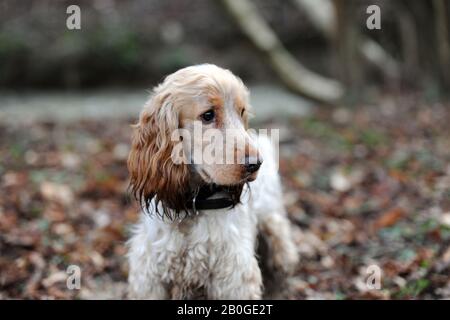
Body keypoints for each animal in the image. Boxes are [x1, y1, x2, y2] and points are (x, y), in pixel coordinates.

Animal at [125, 63, 298, 298]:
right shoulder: (149, 275)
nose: (256, 163)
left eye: (242, 112)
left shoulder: (234, 277)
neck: (193, 207)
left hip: (273, 222)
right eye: (208, 115)